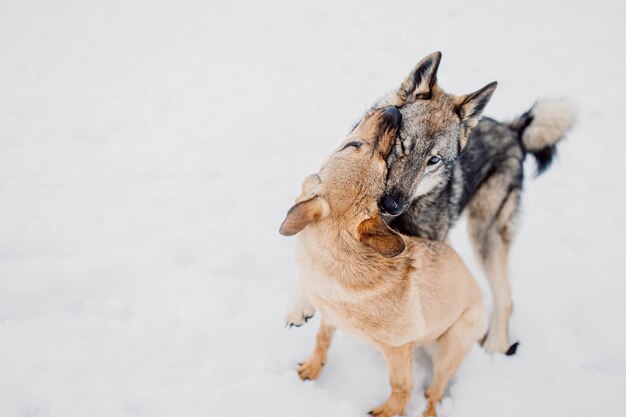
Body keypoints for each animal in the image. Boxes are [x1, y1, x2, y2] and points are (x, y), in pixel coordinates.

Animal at [280, 108, 488, 416]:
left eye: (382, 160)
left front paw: (390, 410)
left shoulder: (398, 349)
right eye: (354, 145)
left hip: (452, 344)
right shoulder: (329, 317)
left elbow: (401, 386)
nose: (393, 113)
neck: (339, 254)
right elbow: (322, 340)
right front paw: (313, 367)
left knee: (436, 392)